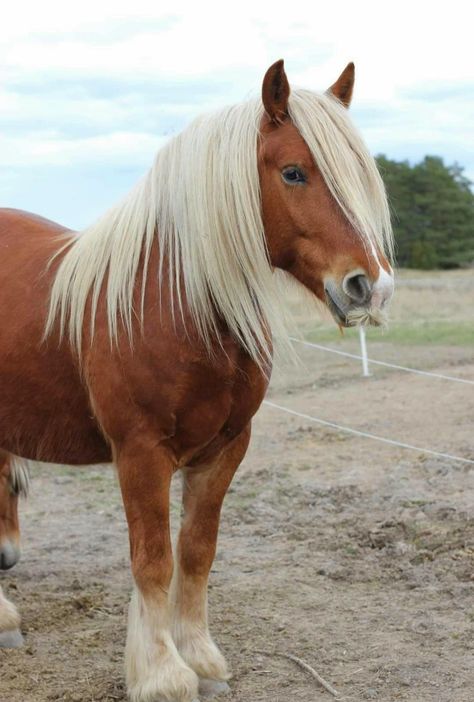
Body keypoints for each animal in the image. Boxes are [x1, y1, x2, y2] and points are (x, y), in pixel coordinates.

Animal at [0, 62, 392, 702]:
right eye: (293, 172)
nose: (371, 287)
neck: (171, 302)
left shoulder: (224, 450)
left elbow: (196, 552)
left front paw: (202, 659)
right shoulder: (141, 453)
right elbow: (153, 559)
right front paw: (161, 673)